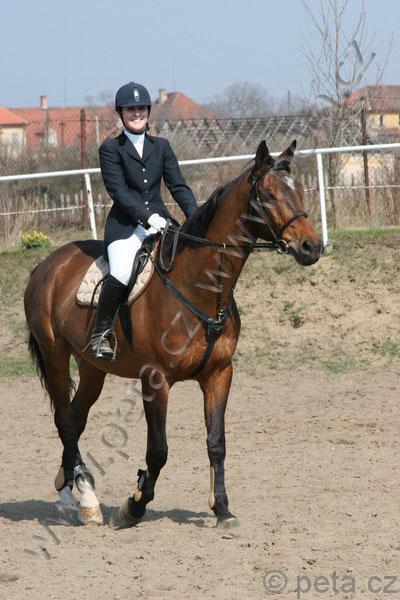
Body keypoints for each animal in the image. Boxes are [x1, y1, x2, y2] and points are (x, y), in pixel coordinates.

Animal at [24, 140, 321, 529]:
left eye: (298, 189)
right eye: (269, 195)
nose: (312, 247)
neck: (201, 288)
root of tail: (46, 265)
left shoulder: (219, 374)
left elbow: (216, 442)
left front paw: (222, 509)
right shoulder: (155, 379)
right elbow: (158, 450)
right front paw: (133, 506)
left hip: (92, 368)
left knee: (75, 417)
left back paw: (68, 487)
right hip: (55, 356)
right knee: (64, 419)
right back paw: (87, 497)